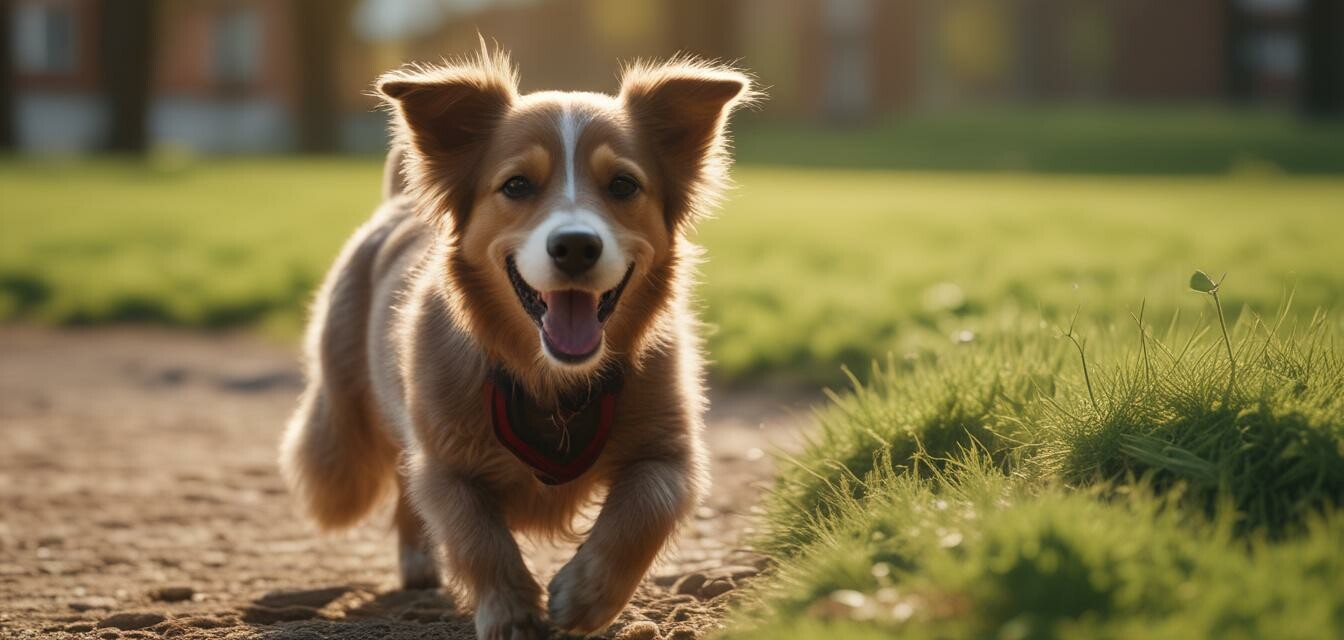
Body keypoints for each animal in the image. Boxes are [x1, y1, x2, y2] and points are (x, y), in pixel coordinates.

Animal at [279, 46, 758, 640]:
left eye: (624, 185)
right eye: (516, 186)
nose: (575, 245)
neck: (553, 381)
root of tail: (397, 205)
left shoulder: (671, 453)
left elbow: (645, 511)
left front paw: (585, 596)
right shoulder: (444, 463)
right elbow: (476, 538)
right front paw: (511, 613)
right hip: (343, 431)